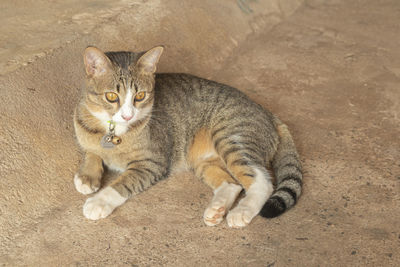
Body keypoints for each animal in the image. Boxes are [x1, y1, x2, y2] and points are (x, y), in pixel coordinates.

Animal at [72, 46, 304, 228]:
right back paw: (217, 210)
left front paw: (99, 202)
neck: (112, 130)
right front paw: (87, 176)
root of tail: (267, 112)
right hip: (202, 160)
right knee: (232, 184)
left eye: (140, 96)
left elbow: (122, 183)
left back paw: (241, 211)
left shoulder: (152, 164)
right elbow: (91, 152)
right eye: (112, 96)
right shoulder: (88, 138)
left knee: (262, 181)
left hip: (232, 137)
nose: (128, 115)